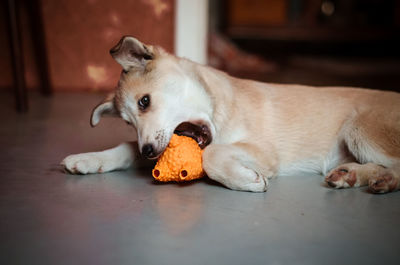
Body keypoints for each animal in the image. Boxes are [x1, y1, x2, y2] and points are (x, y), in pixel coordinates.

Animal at [61, 35, 400, 192]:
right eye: (128, 122)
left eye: (144, 101)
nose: (148, 153)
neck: (219, 106)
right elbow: (125, 149)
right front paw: (88, 159)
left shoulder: (264, 151)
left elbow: (213, 157)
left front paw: (246, 180)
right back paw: (353, 175)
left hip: (360, 129)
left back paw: (377, 179)